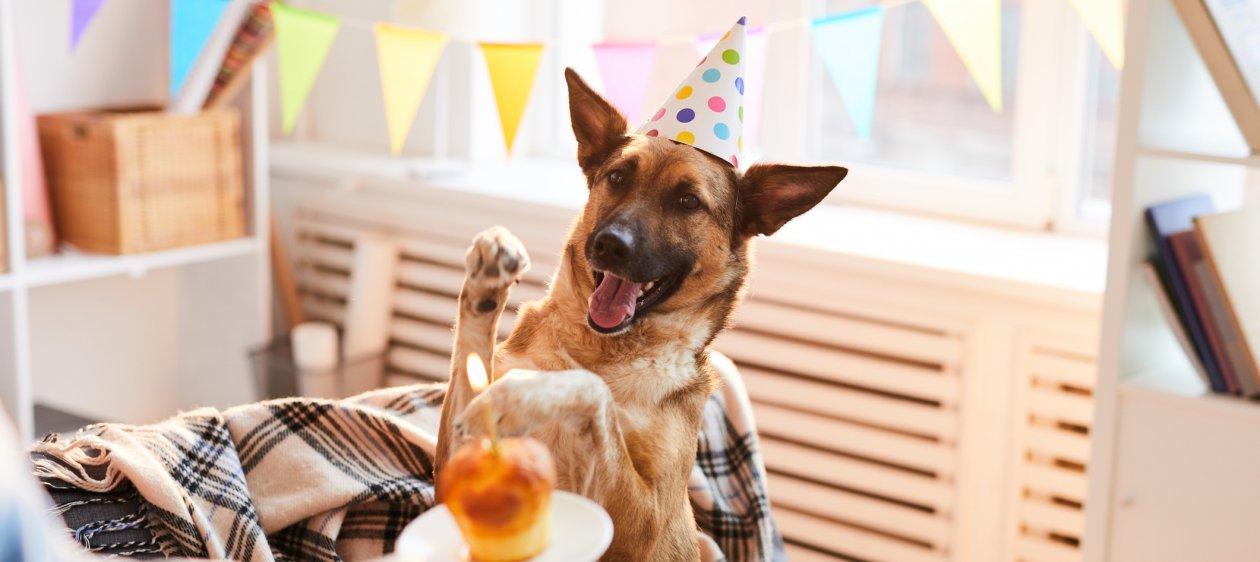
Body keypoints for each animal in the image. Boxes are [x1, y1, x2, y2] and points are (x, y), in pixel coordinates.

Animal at [438, 71, 851, 562]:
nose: (610, 245)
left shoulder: (643, 523)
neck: (605, 350)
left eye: (688, 201)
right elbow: (470, 358)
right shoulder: (458, 466)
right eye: (617, 177)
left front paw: (525, 395)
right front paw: (486, 283)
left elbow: (590, 391)